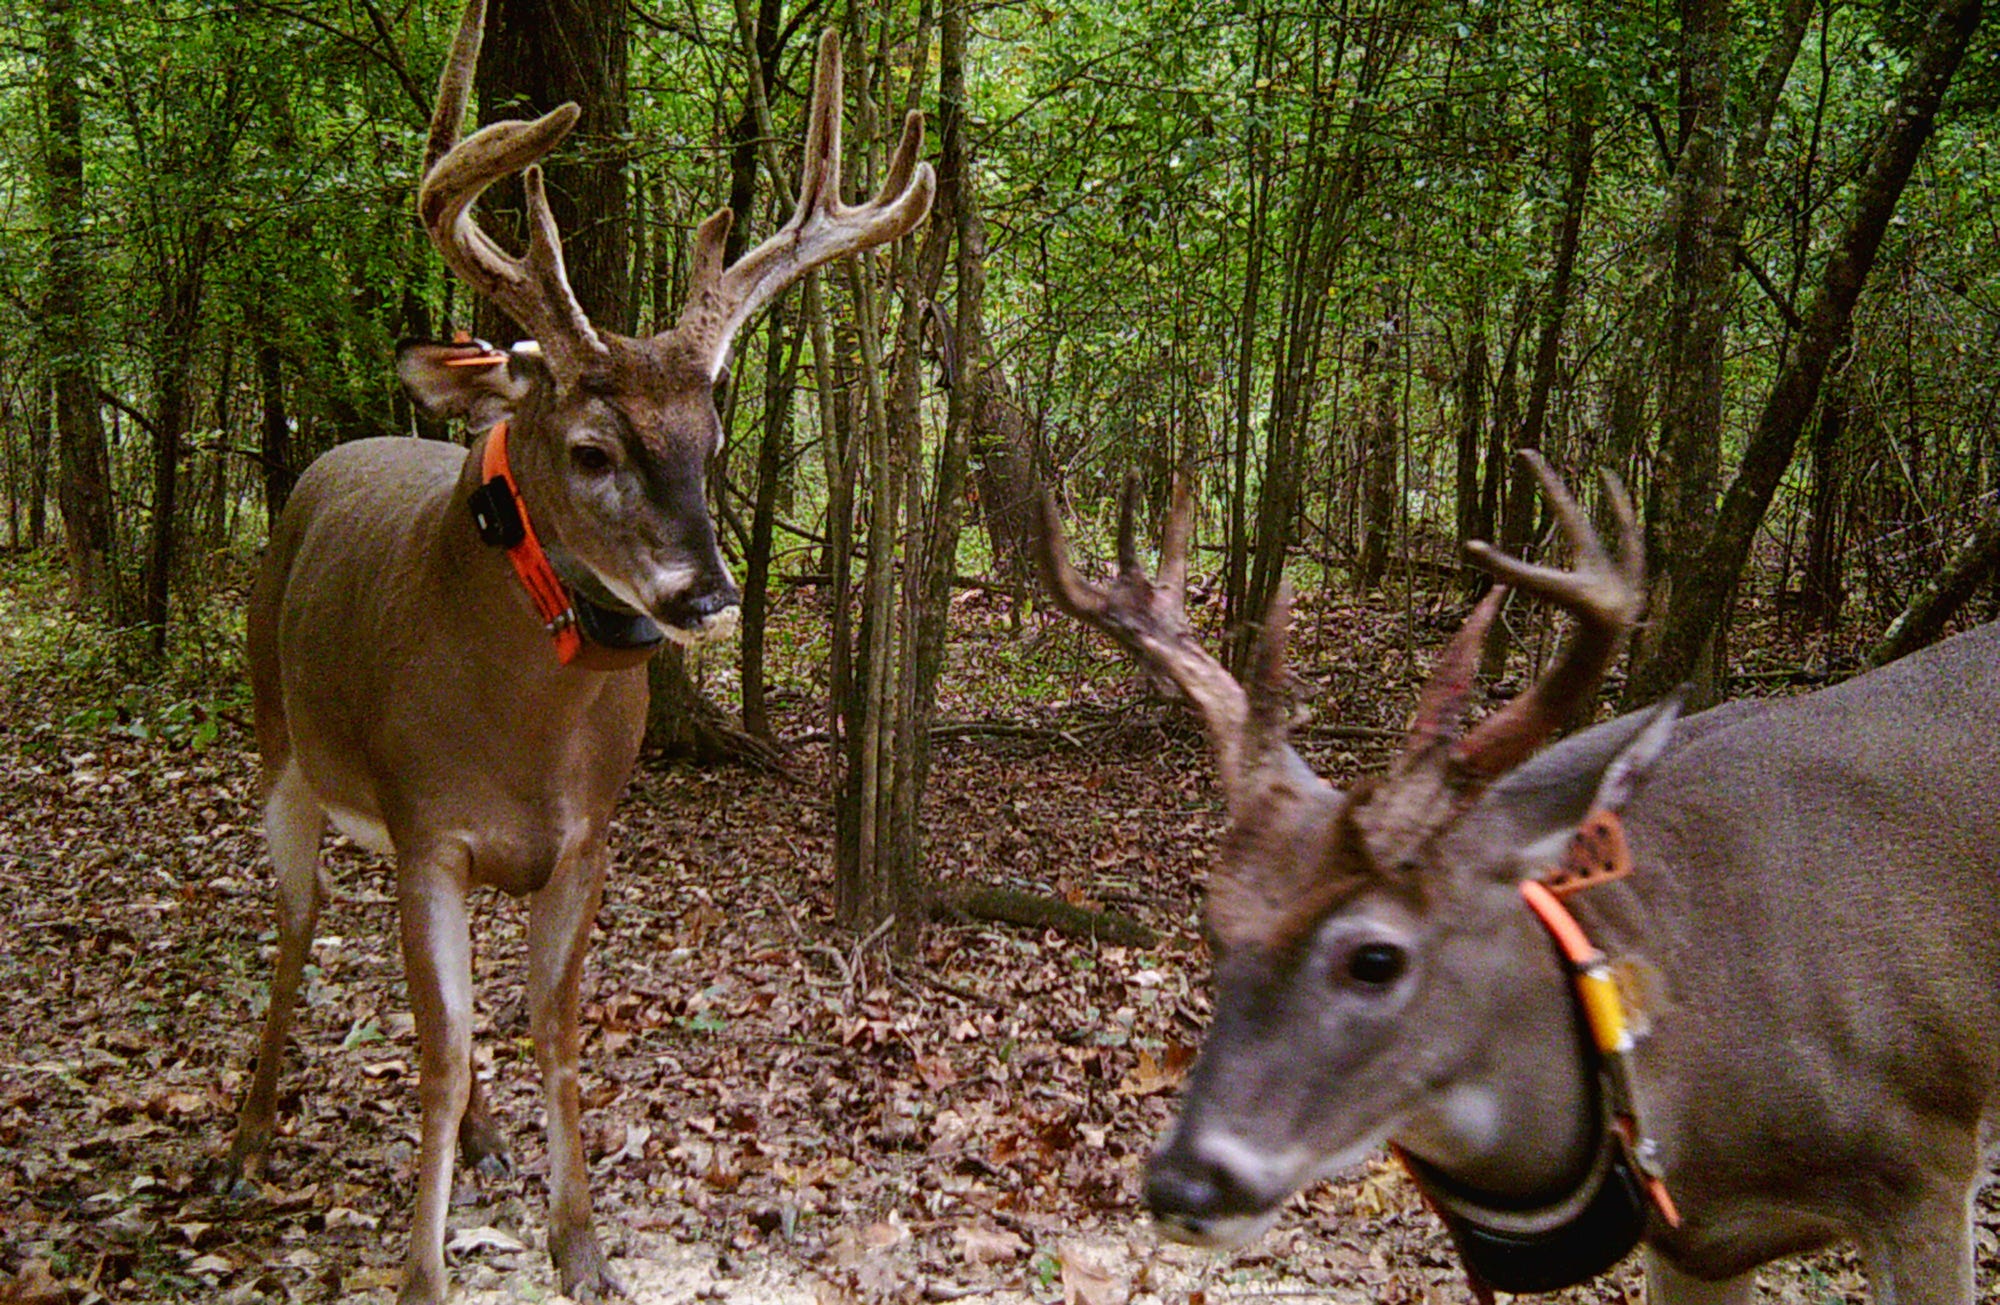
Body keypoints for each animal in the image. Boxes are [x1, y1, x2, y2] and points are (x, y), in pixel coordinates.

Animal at [223, 5, 940, 1296]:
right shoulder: (428, 829)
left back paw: (484, 1145)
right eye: (594, 449)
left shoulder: (585, 836)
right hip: (279, 746)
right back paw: (248, 1143)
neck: (521, 728)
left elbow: (548, 1029)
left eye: (711, 439)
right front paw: (424, 1270)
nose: (707, 592)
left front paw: (580, 1243)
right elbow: (442, 1048)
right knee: (297, 927)